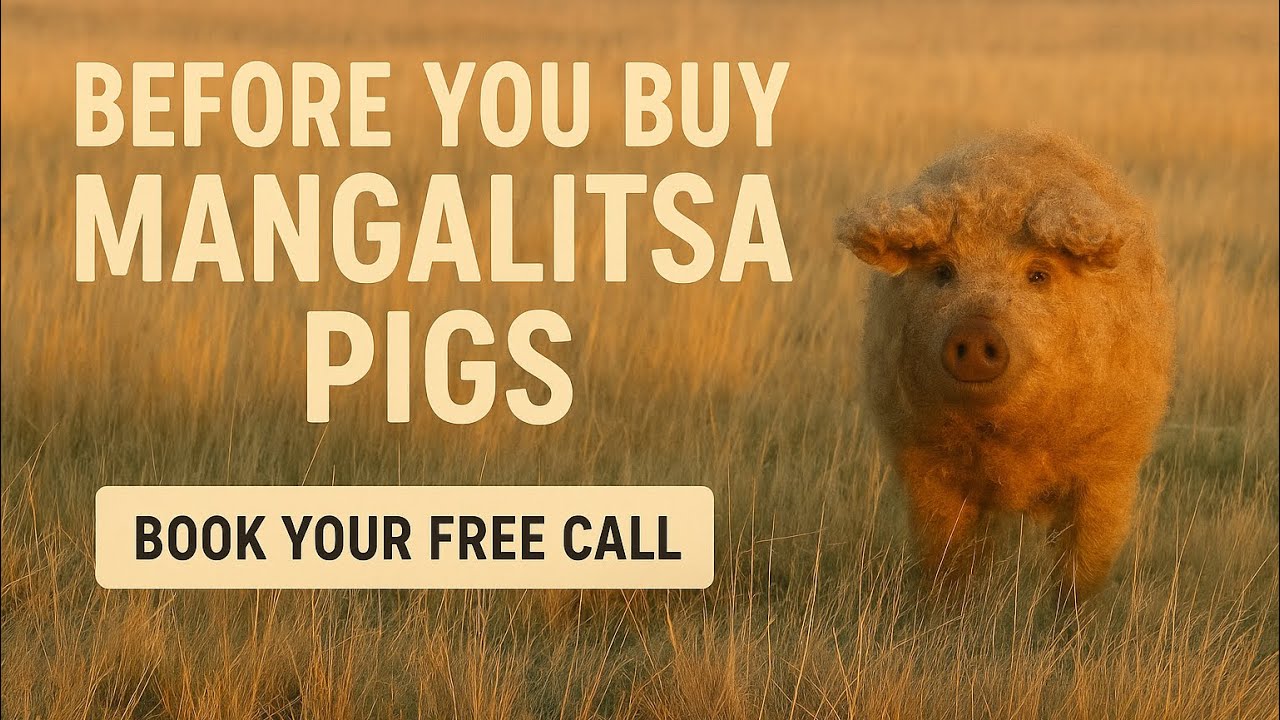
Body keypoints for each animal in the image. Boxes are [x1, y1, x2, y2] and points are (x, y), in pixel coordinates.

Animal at [836, 130, 1174, 604]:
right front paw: (946, 613)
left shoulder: (1109, 465)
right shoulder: (923, 463)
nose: (976, 331)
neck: (1009, 449)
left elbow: (1083, 567)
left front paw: (1071, 621)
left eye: (1038, 274)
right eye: (943, 271)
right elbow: (947, 556)